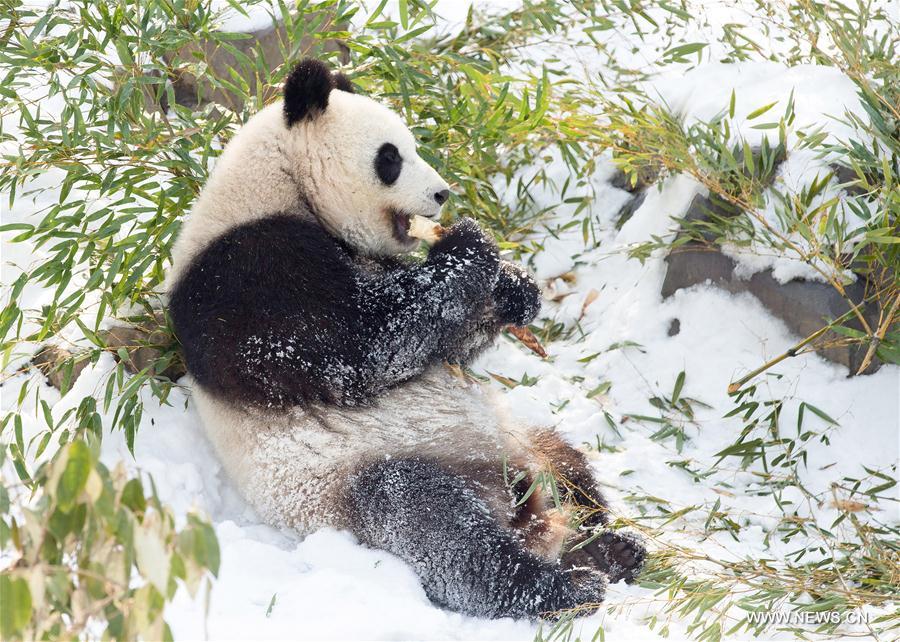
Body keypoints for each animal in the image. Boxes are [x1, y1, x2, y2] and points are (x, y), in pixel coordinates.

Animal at [167, 58, 648, 616]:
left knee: (570, 466)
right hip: (365, 476)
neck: (279, 184)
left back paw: (609, 547)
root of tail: (523, 508)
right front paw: (470, 245)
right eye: (391, 157)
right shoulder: (246, 275)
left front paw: (514, 289)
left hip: (518, 437)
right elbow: (362, 346)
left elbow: (440, 344)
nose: (442, 194)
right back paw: (556, 588)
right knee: (434, 523)